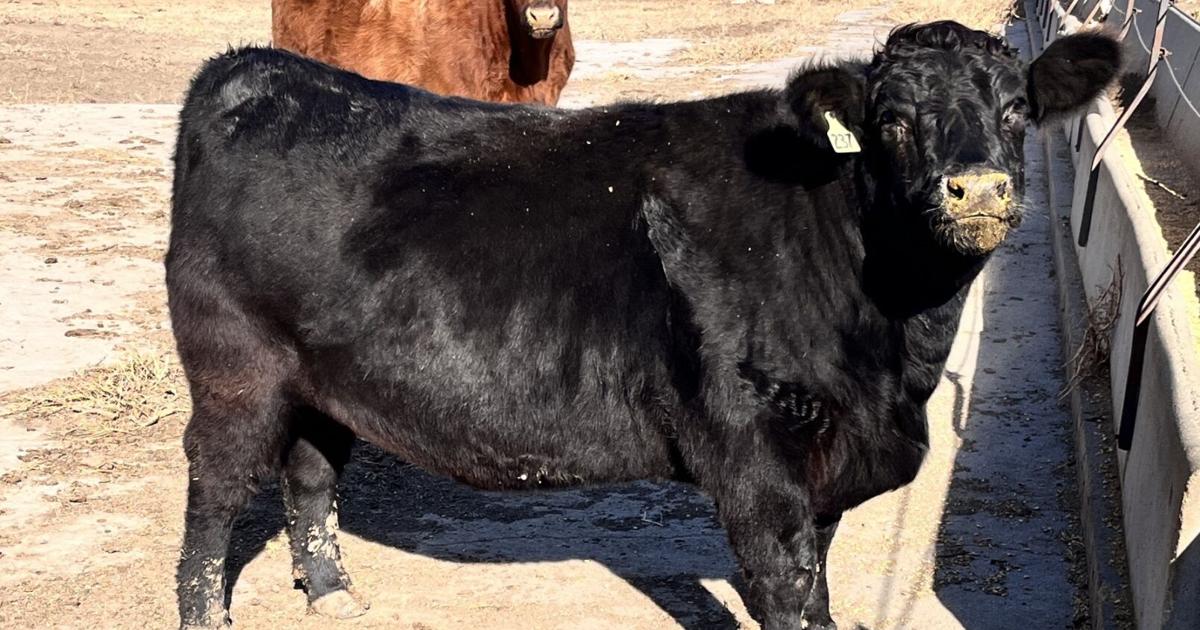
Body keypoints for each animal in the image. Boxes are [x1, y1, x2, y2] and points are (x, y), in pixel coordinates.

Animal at [168, 22, 1119, 629]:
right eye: (892, 123)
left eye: (1016, 111)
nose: (979, 189)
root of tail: (255, 70)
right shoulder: (755, 460)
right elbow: (786, 589)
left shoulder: (827, 463)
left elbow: (817, 585)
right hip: (234, 374)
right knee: (214, 499)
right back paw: (207, 615)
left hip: (322, 378)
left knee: (309, 472)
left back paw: (332, 591)